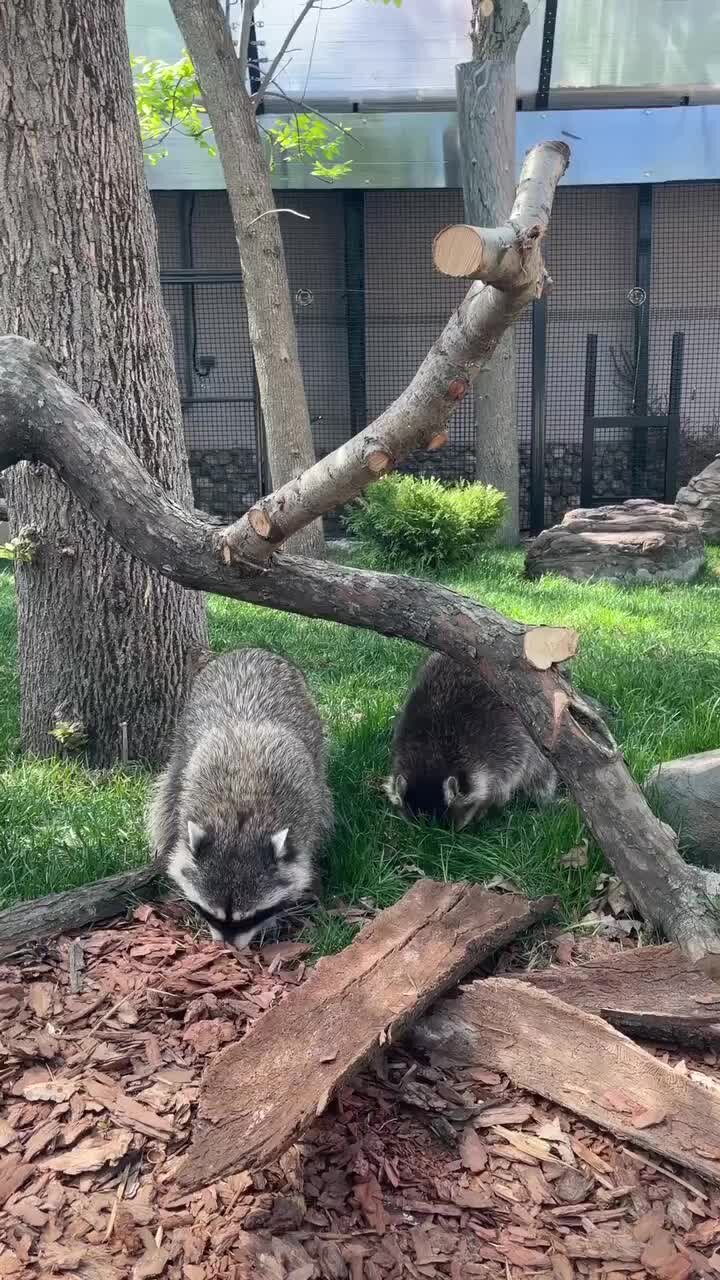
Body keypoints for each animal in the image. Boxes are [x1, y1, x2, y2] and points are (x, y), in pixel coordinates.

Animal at [150, 655, 333, 947]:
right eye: (208, 912)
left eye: (252, 916)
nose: (227, 947)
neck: (241, 813)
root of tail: (251, 649)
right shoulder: (189, 792)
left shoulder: (306, 807)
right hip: (183, 734)